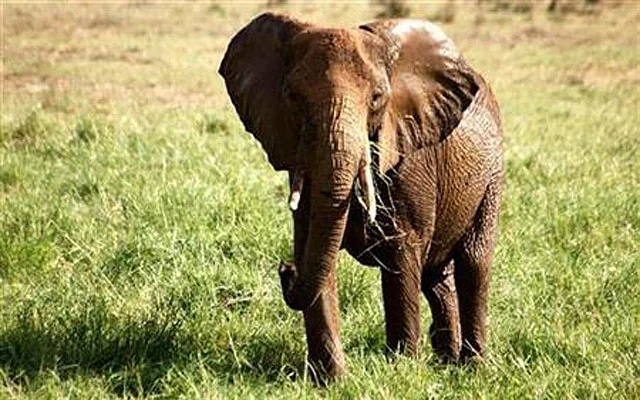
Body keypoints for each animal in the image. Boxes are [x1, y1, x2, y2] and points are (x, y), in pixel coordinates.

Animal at [219, 13, 503, 380]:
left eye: (377, 98)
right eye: (292, 97)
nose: (285, 269)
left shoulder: (410, 155)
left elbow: (402, 255)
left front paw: (401, 370)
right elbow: (315, 249)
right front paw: (330, 380)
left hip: (492, 177)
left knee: (473, 262)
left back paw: (471, 369)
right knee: (436, 278)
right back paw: (446, 362)